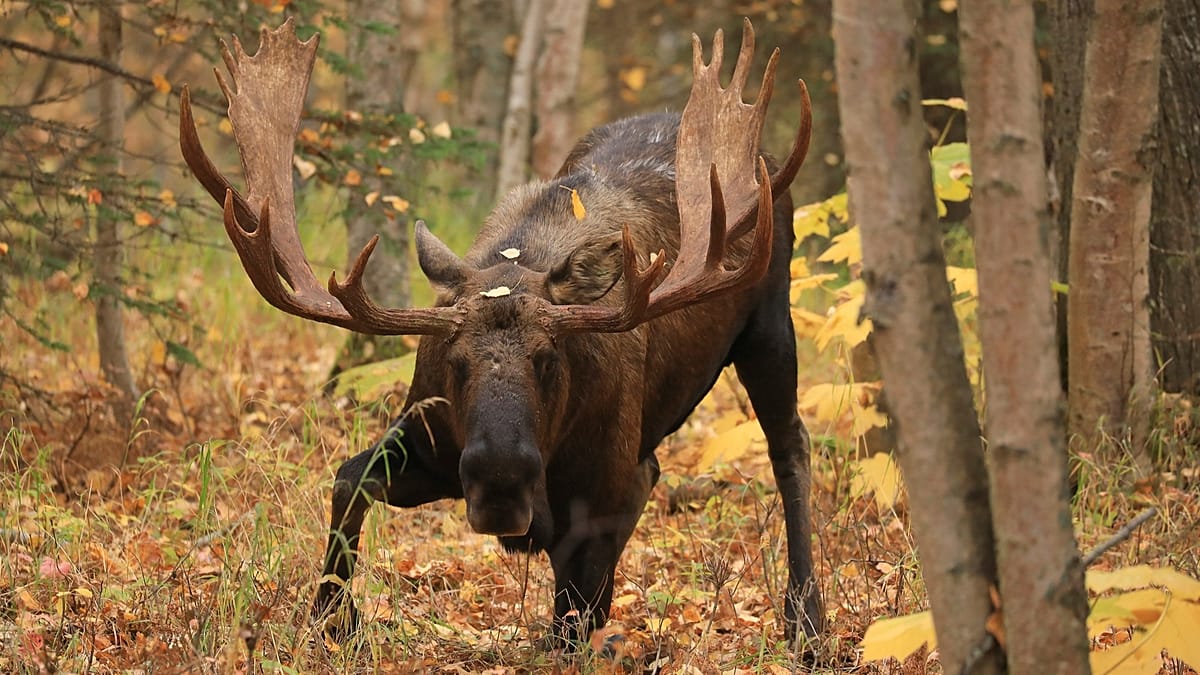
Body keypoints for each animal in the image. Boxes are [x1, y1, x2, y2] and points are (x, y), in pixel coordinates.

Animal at [179, 17, 819, 647]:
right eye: (455, 363)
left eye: (548, 359)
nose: (501, 482)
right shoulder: (431, 444)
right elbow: (347, 480)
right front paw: (335, 619)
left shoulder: (605, 495)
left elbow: (572, 623)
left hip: (769, 324)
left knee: (789, 446)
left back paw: (806, 620)